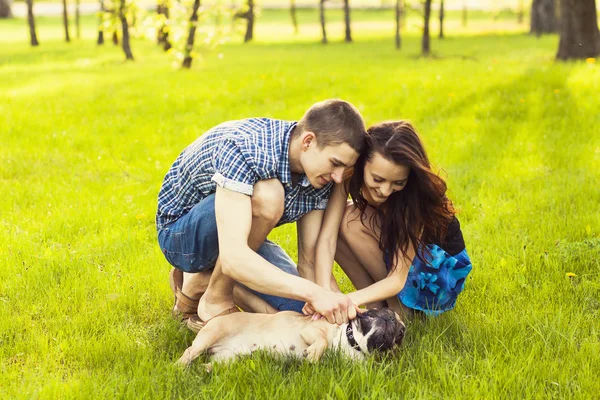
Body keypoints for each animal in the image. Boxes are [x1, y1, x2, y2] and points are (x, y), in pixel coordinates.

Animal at [176, 306, 406, 368]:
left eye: (401, 334)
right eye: (372, 313)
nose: (392, 320)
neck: (352, 342)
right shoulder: (312, 329)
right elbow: (322, 341)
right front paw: (314, 353)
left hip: (229, 359)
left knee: (212, 364)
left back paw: (204, 369)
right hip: (211, 335)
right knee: (189, 352)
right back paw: (178, 367)